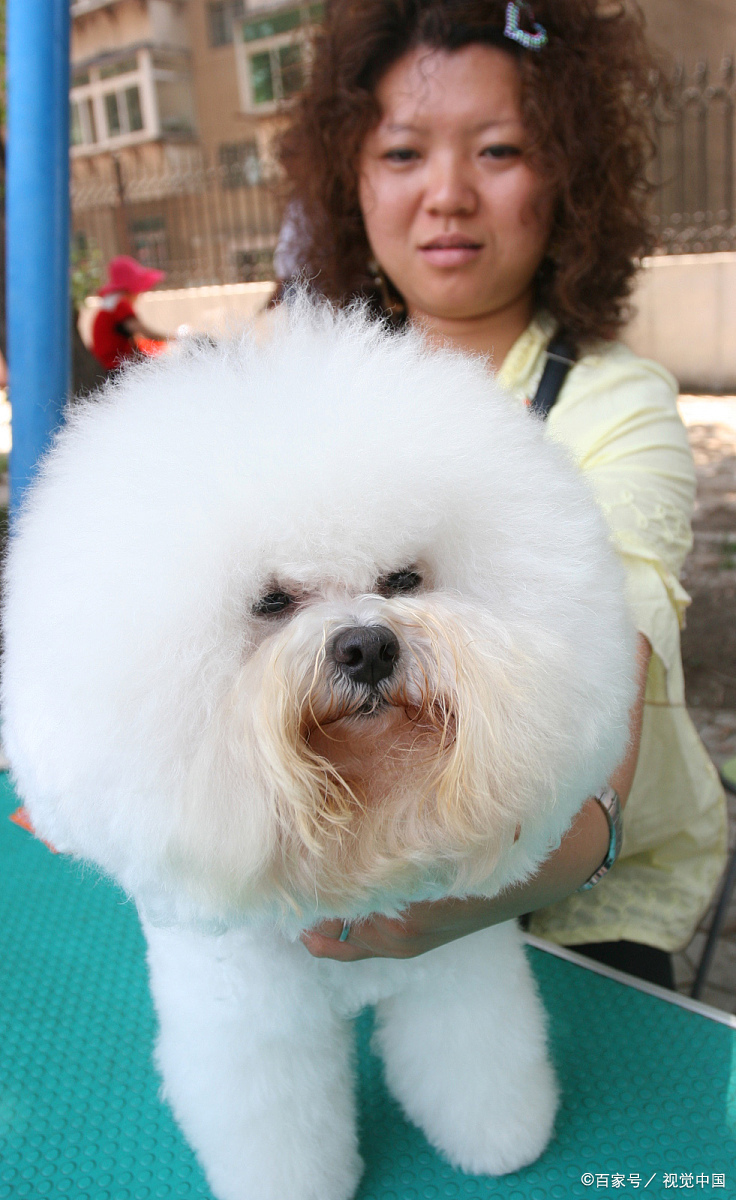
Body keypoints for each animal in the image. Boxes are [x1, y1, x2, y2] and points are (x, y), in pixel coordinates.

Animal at [0, 300, 633, 1200]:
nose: (367, 647)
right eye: (271, 602)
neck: (362, 824)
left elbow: (475, 1054)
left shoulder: (458, 965)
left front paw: (502, 1139)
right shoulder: (256, 1027)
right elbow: (278, 1121)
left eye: (403, 579)